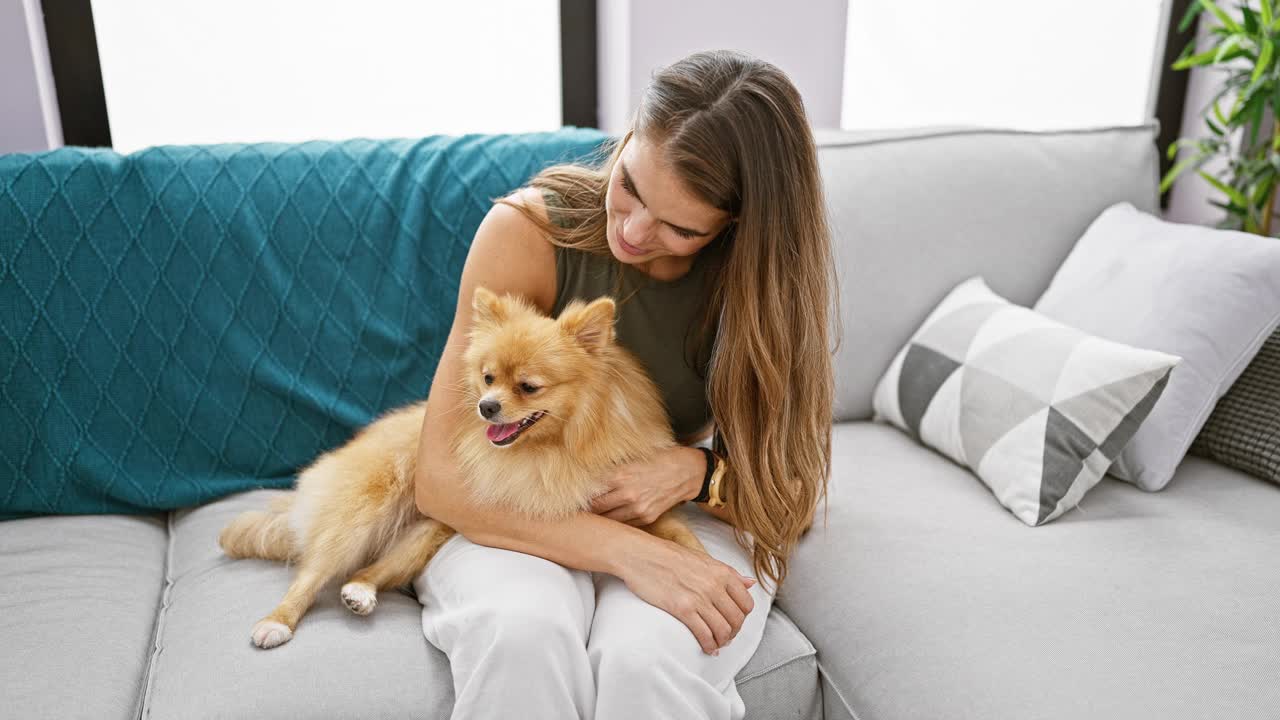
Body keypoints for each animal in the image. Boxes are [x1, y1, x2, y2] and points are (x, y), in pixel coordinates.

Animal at [215, 284, 706, 645]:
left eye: (528, 387)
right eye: (488, 378)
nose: (486, 407)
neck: (561, 444)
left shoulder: (643, 505)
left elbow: (682, 537)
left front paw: (708, 569)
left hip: (427, 533)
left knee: (367, 572)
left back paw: (360, 593)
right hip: (362, 513)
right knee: (312, 574)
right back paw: (277, 621)